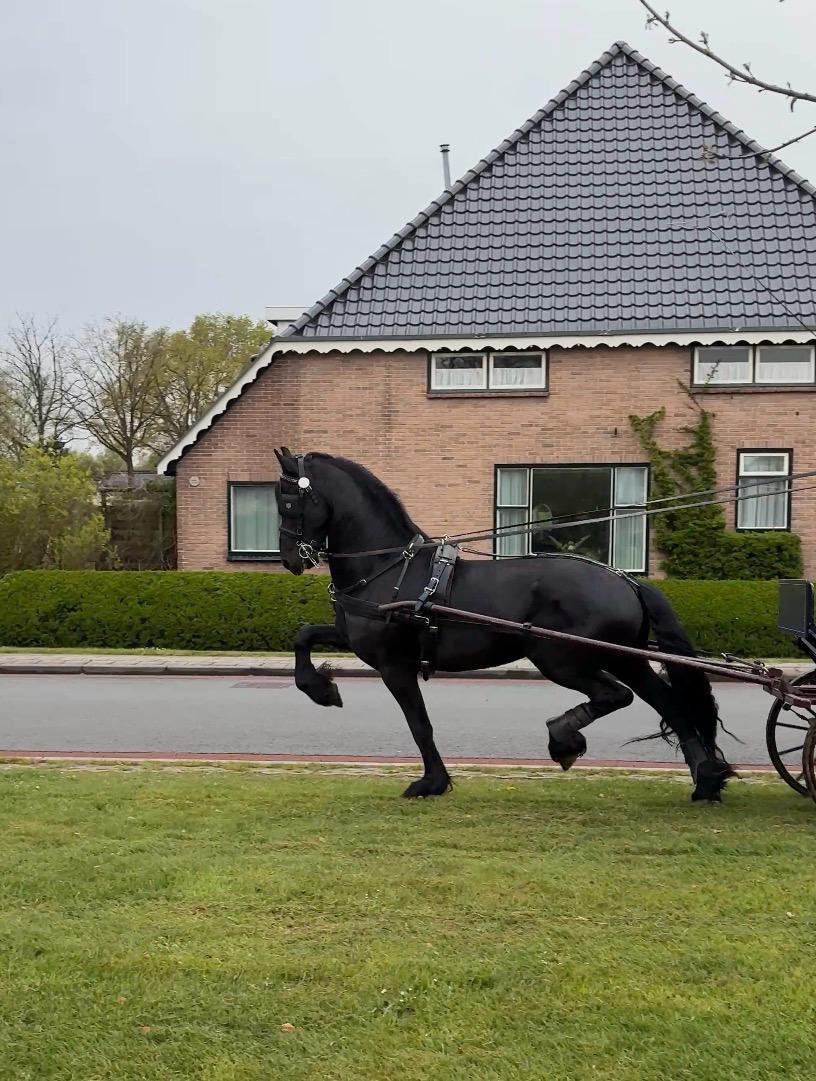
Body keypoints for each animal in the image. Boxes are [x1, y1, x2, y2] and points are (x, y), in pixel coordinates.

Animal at [274, 449, 734, 803]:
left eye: (289, 501)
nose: (291, 559)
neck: (390, 569)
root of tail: (625, 580)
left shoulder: (394, 666)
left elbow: (420, 724)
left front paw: (432, 782)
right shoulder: (353, 637)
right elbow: (304, 636)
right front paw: (322, 689)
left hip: (562, 658)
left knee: (617, 695)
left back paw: (563, 738)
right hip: (625, 658)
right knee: (669, 704)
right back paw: (706, 780)